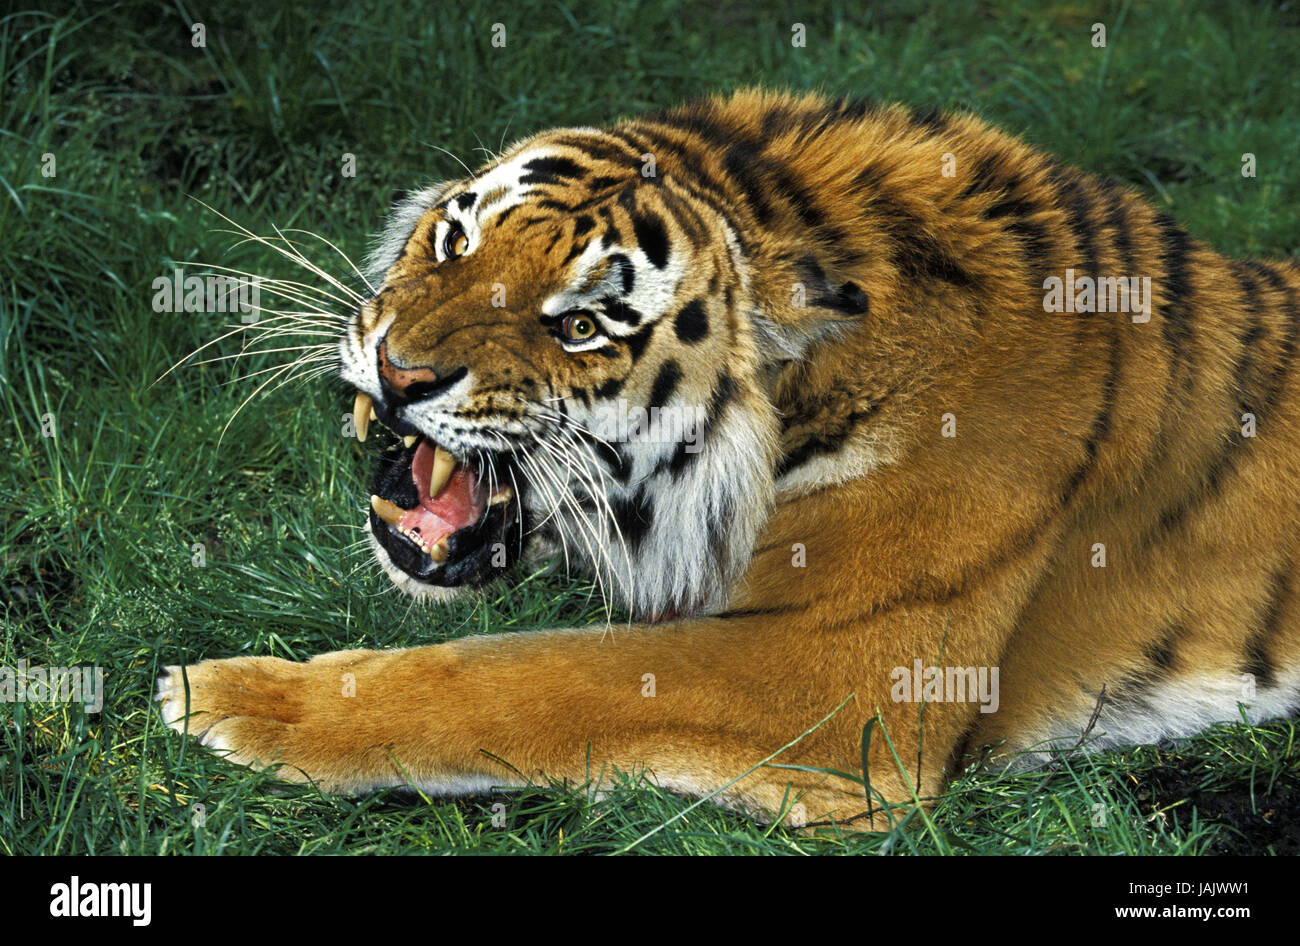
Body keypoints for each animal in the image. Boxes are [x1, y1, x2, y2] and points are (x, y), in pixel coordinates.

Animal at [157, 88, 1300, 826]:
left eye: (582, 326)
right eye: (455, 242)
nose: (398, 373)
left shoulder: (833, 675)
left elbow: (515, 673)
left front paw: (229, 698)